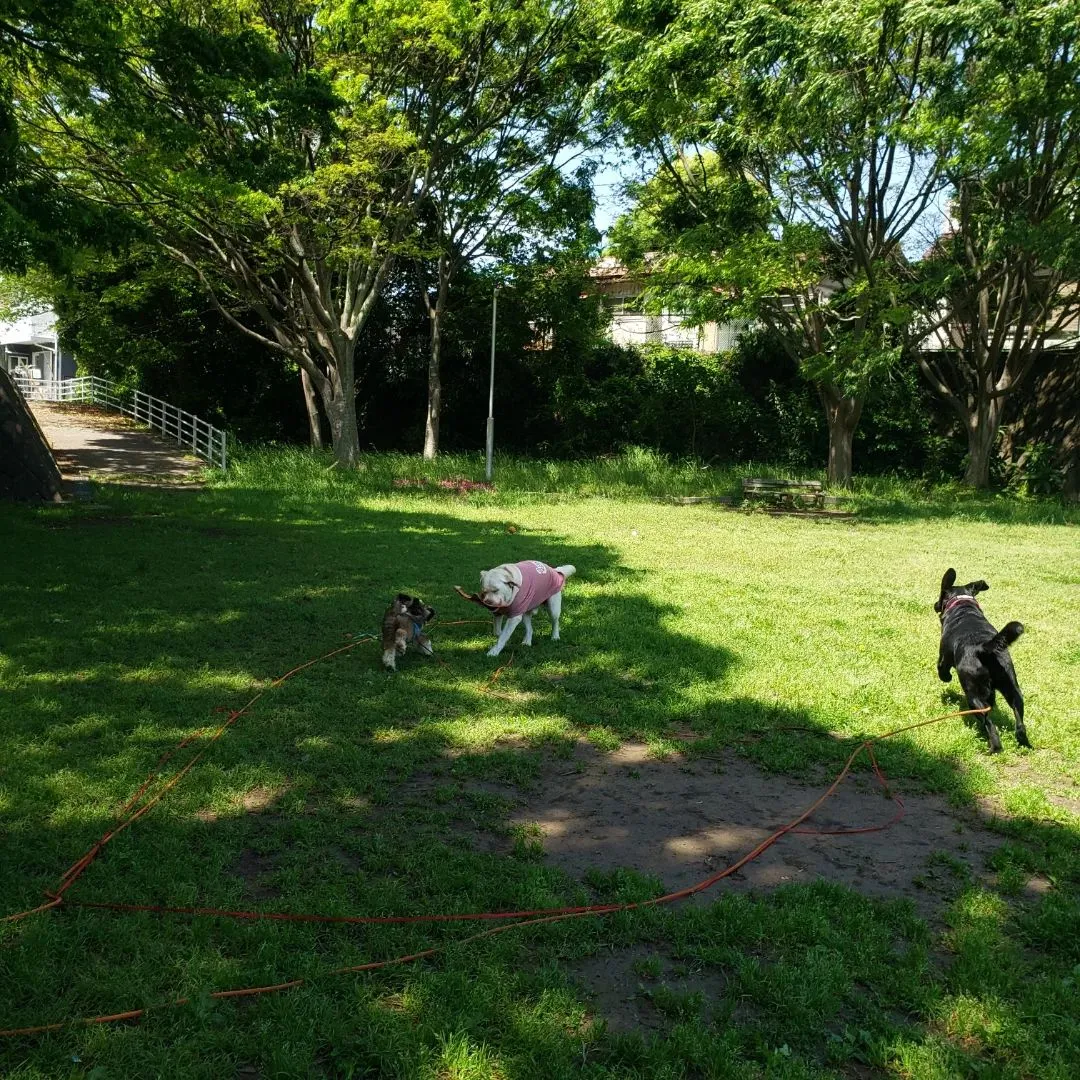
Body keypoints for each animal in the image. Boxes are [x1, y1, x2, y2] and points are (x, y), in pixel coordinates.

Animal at [933, 570, 1023, 756]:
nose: (935, 605)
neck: (963, 605)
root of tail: (984, 648)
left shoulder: (943, 658)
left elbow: (942, 669)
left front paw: (946, 678)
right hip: (1013, 688)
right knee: (1019, 722)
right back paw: (1024, 743)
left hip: (974, 696)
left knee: (990, 726)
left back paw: (993, 748)